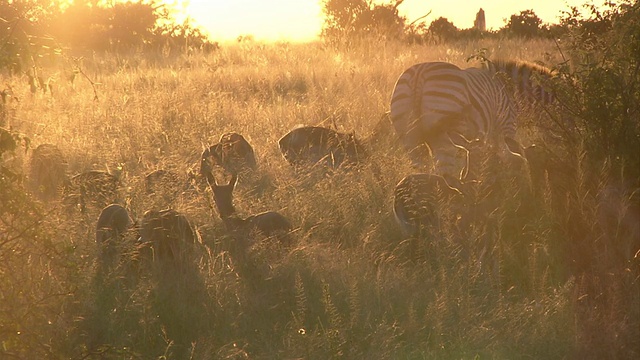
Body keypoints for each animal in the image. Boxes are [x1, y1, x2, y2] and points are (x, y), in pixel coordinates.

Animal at [388, 60, 524, 181]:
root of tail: (419, 75)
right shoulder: (505, 125)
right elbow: (502, 154)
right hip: (443, 133)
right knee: (445, 167)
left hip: (407, 134)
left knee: (419, 164)